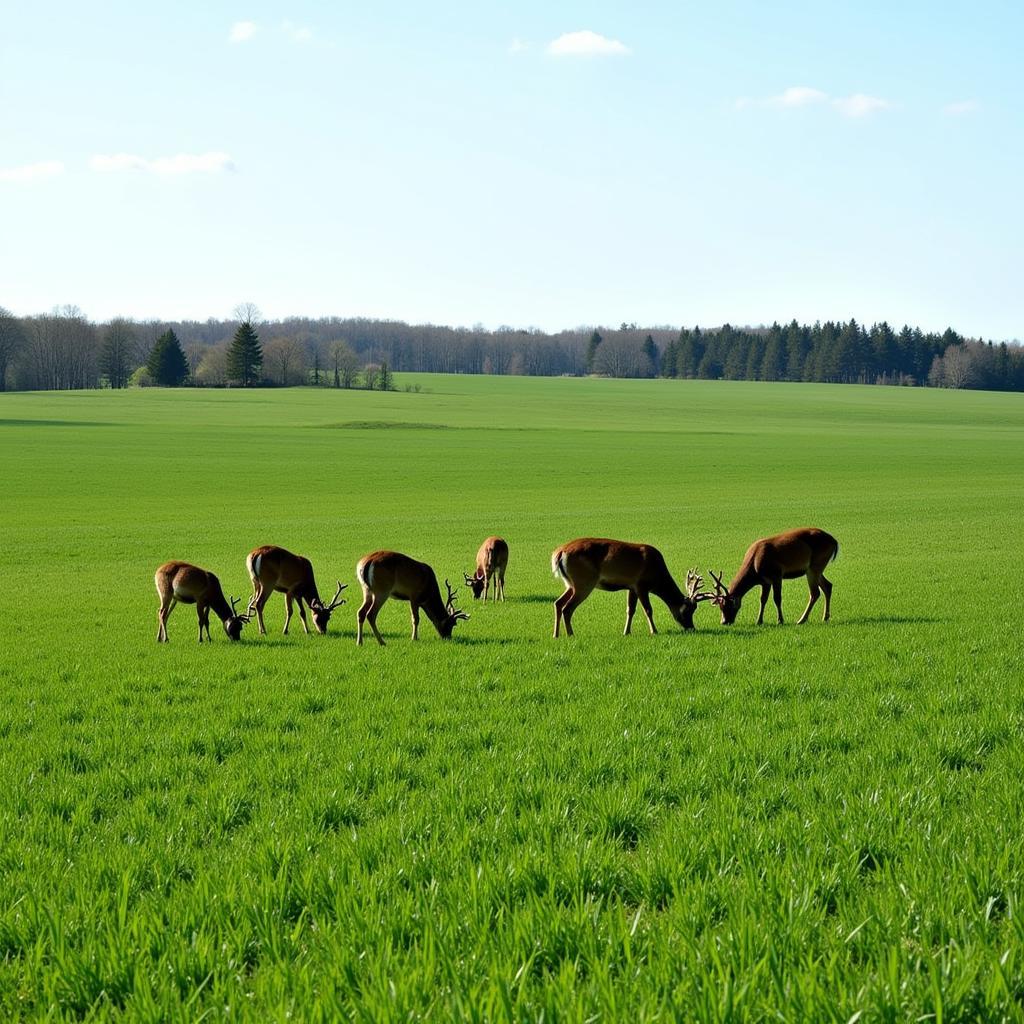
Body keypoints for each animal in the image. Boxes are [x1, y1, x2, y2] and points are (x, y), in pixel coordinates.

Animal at [552, 540, 712, 634]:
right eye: (688, 610)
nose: (691, 628)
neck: (657, 576)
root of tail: (559, 553)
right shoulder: (641, 585)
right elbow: (648, 610)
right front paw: (654, 631)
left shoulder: (631, 587)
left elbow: (630, 610)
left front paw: (626, 632)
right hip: (584, 582)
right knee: (567, 608)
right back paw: (570, 634)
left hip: (571, 584)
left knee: (558, 603)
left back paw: (556, 635)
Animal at [704, 528, 839, 622]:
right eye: (720, 607)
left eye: (728, 606)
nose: (724, 622)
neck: (754, 566)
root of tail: (834, 541)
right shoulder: (765, 581)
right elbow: (763, 600)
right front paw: (759, 621)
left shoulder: (776, 574)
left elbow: (777, 598)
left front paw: (780, 620)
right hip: (815, 568)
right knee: (828, 586)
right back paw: (825, 617)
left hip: (815, 565)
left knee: (815, 592)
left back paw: (801, 620)